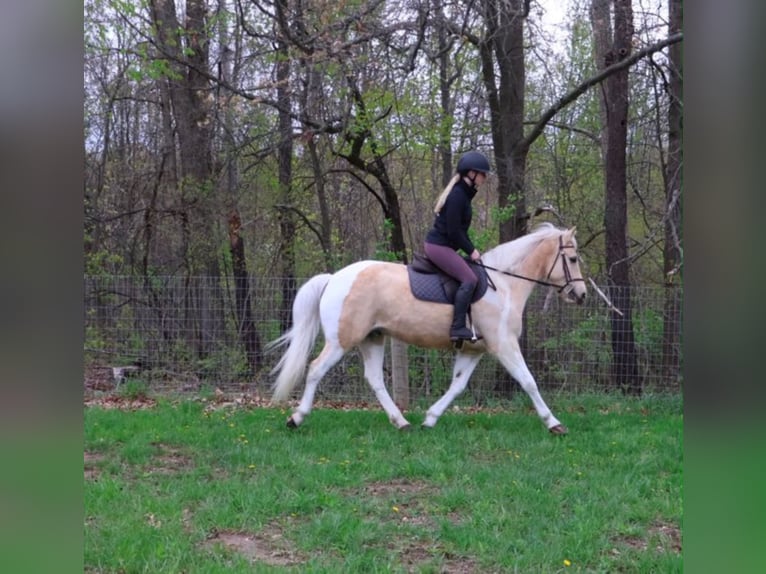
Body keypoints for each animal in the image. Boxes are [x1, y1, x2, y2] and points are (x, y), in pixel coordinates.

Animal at [268, 222, 587, 434]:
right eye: (572, 259)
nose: (582, 295)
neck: (505, 284)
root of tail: (334, 278)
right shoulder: (504, 344)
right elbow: (529, 381)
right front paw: (554, 423)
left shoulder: (474, 350)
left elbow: (457, 386)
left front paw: (431, 418)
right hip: (341, 341)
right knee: (315, 370)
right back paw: (296, 418)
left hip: (372, 338)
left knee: (375, 379)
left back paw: (402, 422)